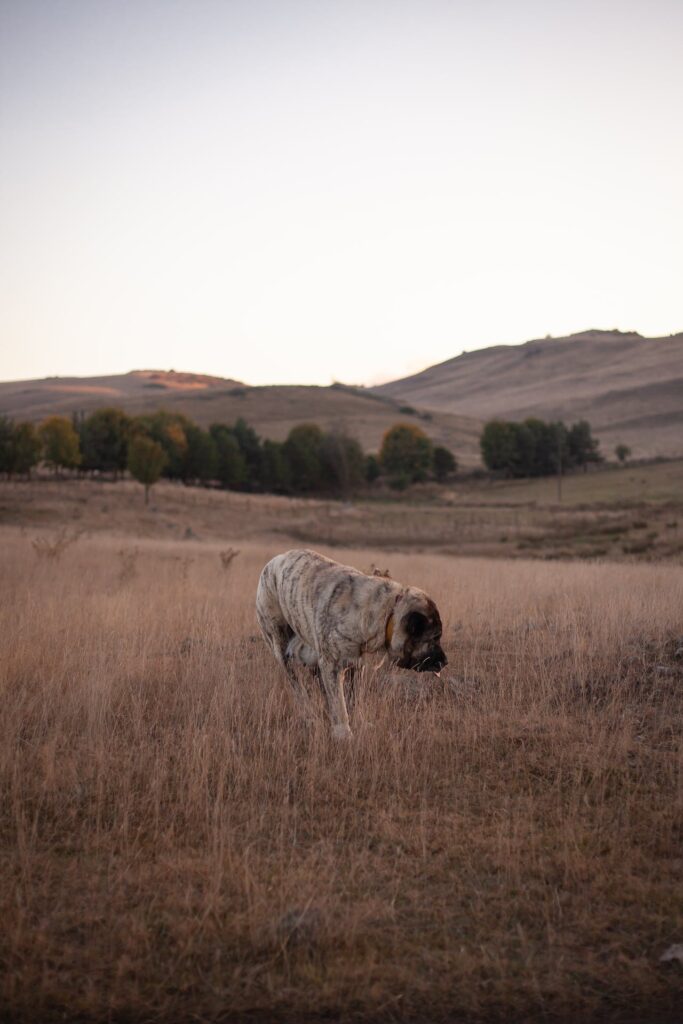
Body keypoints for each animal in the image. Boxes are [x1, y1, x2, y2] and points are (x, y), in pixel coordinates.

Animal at [255, 548, 448, 741]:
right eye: (435, 638)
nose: (446, 662)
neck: (387, 613)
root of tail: (272, 563)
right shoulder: (332, 665)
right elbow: (339, 703)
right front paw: (344, 733)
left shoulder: (356, 667)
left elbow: (354, 698)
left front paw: (359, 722)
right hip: (281, 646)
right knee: (298, 688)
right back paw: (310, 717)